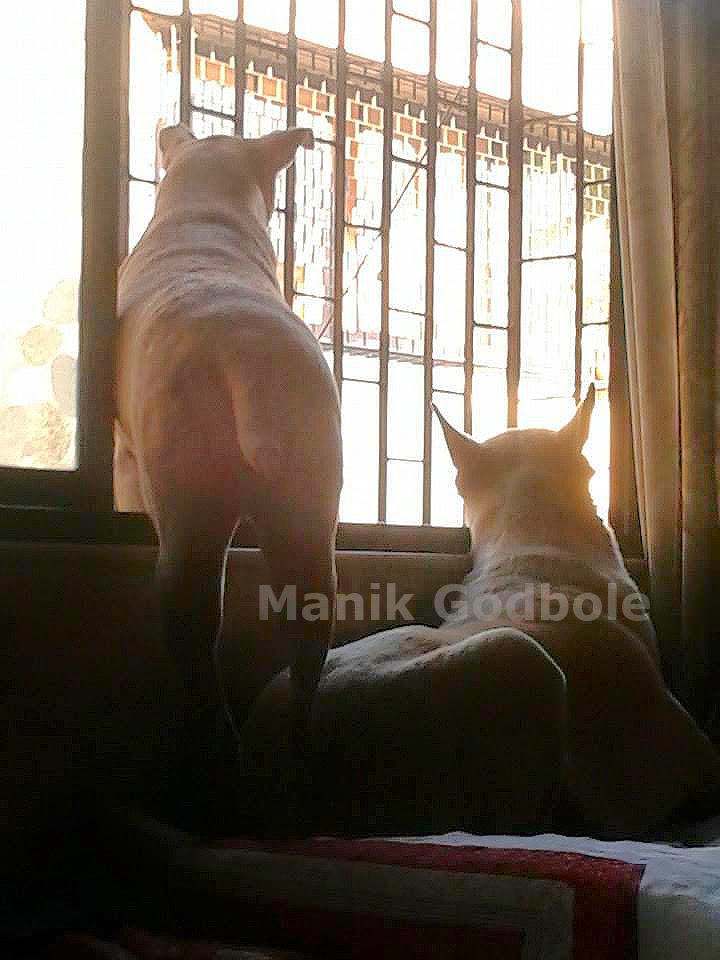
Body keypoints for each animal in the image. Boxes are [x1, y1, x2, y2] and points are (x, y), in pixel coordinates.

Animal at [114, 124, 342, 769]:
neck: (207, 207)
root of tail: (246, 356)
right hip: (307, 520)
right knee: (307, 648)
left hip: (189, 519)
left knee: (194, 645)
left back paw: (213, 751)